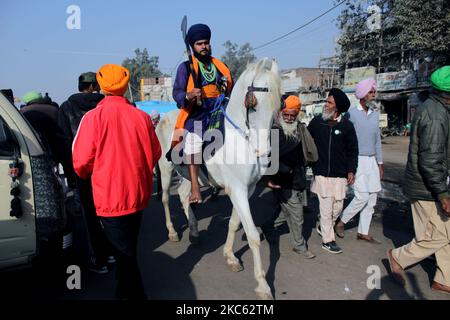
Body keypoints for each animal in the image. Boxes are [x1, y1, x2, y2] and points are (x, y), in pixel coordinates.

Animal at [156, 58, 280, 300]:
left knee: (184, 195)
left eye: (277, 106)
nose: (264, 151)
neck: (240, 138)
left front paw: (230, 256)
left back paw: (194, 232)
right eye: (253, 104)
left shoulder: (246, 189)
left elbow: (234, 223)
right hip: (165, 169)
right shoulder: (238, 190)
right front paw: (262, 284)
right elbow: (252, 235)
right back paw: (173, 231)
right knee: (166, 198)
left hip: (187, 175)